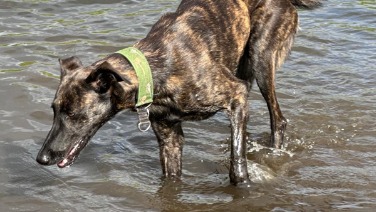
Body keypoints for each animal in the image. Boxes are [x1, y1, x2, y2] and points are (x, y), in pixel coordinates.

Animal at [36, 0, 322, 186]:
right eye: (54, 111)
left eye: (74, 114)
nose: (41, 158)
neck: (154, 70)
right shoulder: (169, 135)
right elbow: (172, 178)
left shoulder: (235, 95)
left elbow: (236, 169)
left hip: (261, 59)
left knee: (278, 120)